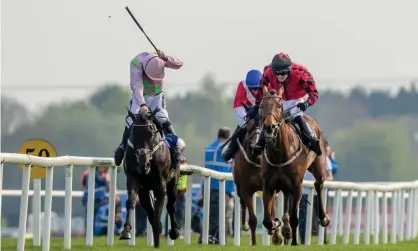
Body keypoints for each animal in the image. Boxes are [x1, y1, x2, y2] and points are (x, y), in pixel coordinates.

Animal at [119, 107, 181, 248]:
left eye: (151, 132)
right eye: (134, 133)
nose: (143, 164)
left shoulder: (161, 186)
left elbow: (160, 208)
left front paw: (159, 234)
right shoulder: (133, 179)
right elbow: (131, 201)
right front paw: (126, 230)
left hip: (173, 181)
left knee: (171, 205)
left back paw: (174, 231)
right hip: (144, 190)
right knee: (149, 208)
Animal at [233, 103, 282, 245]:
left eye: (262, 125)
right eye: (249, 126)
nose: (256, 146)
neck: (257, 161)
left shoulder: (269, 186)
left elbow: (270, 209)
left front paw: (276, 233)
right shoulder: (246, 189)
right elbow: (253, 219)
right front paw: (254, 243)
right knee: (242, 202)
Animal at [258, 88, 330, 245]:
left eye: (279, 106)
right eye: (262, 106)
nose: (269, 127)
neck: (279, 154)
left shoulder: (297, 186)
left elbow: (294, 218)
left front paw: (295, 242)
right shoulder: (268, 185)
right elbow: (267, 220)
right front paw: (276, 226)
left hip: (319, 167)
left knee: (318, 184)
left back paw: (323, 218)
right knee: (286, 197)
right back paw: (284, 229)